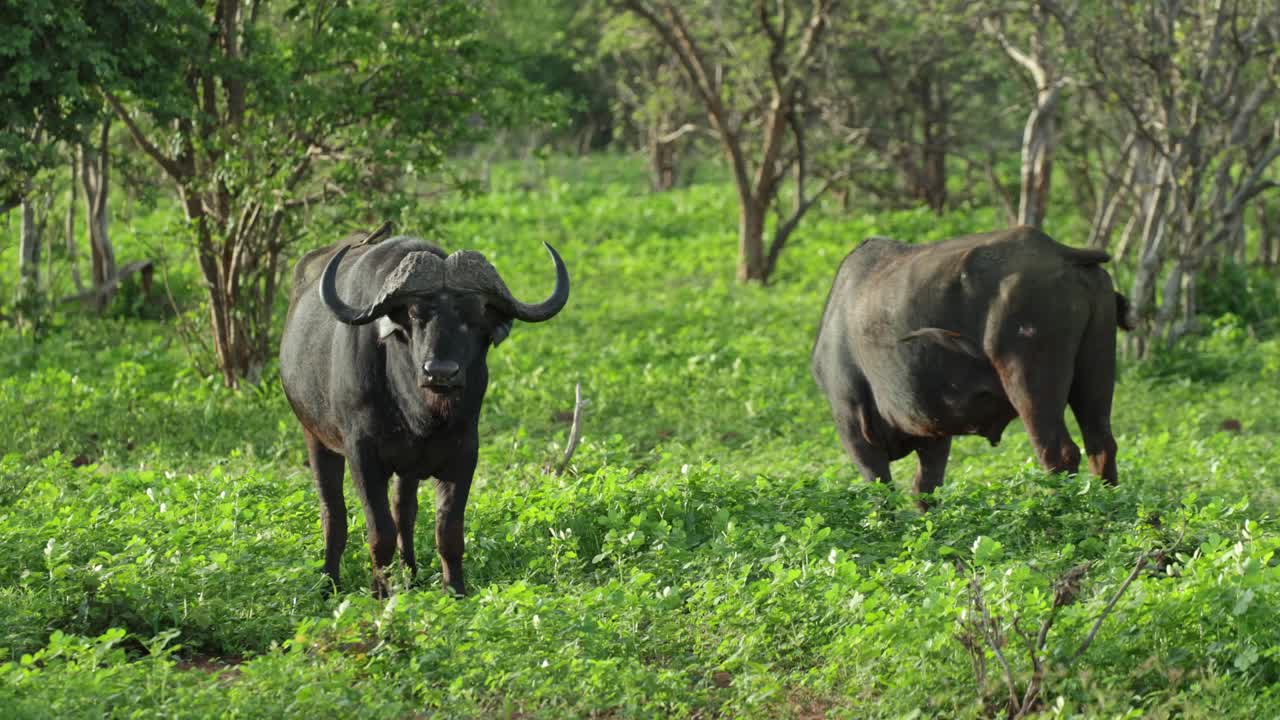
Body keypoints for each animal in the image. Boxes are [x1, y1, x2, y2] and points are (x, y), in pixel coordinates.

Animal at [280, 223, 569, 596]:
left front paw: (455, 590)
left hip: (407, 467)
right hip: (315, 437)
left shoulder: (464, 454)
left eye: (475, 317)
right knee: (333, 510)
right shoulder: (362, 455)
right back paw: (329, 581)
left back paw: (412, 575)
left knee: (404, 511)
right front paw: (380, 592)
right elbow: (380, 532)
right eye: (416, 315)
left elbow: (448, 532)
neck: (418, 412)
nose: (440, 372)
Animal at [811, 226, 1131, 507]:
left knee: (1058, 453)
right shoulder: (934, 434)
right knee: (1101, 445)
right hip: (1096, 373)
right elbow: (925, 489)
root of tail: (1060, 252)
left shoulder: (854, 429)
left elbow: (883, 492)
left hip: (1029, 385)